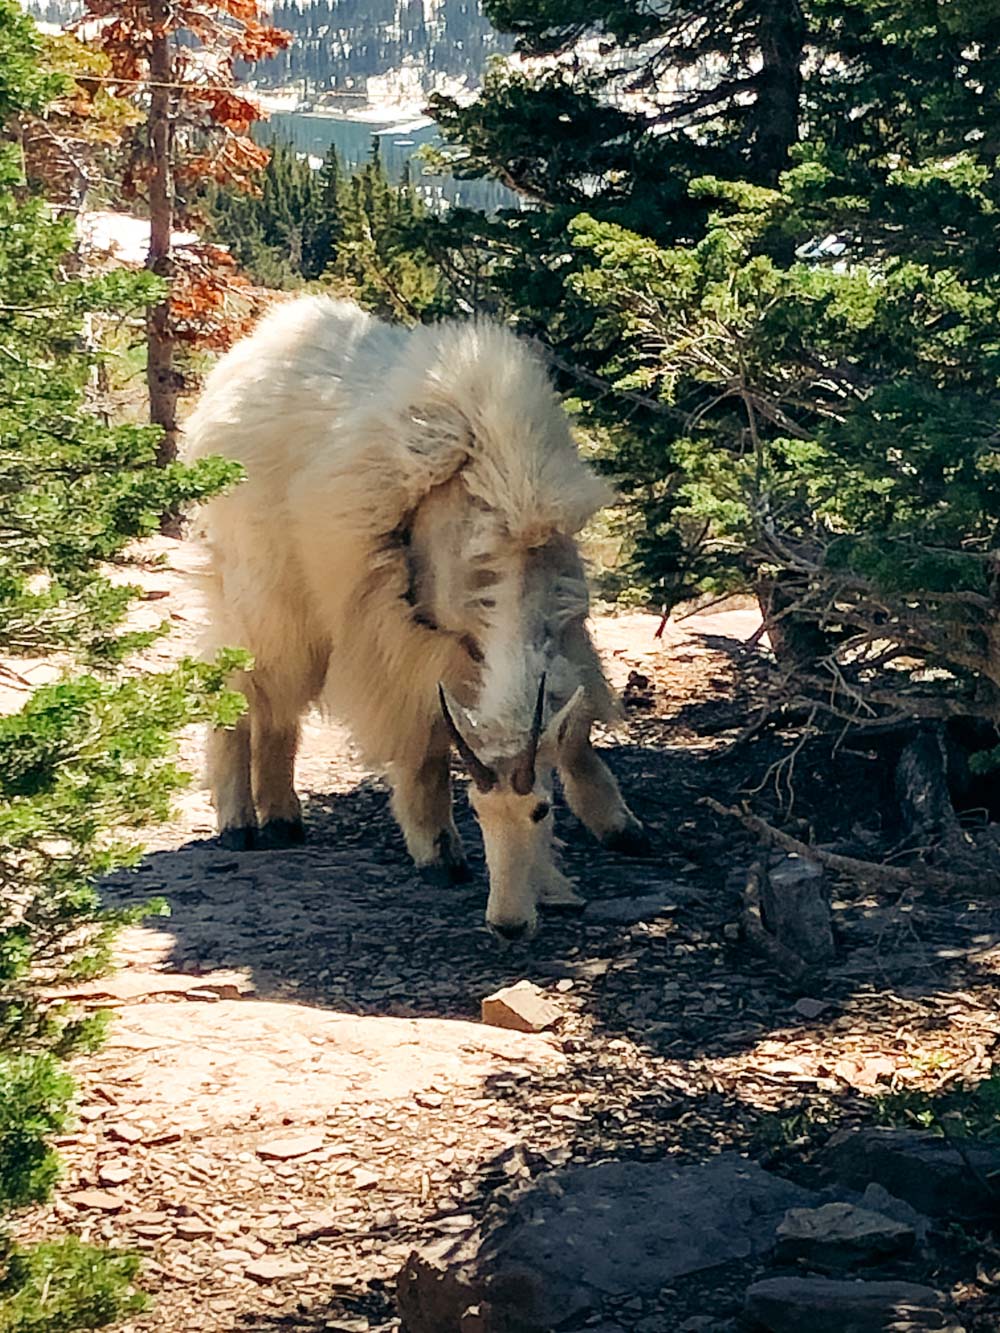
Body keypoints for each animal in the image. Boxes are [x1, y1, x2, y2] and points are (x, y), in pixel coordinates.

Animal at [186, 294, 650, 938]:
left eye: (540, 810)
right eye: (477, 812)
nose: (508, 924)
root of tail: (236, 366)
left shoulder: (566, 624)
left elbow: (574, 729)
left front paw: (620, 829)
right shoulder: (414, 635)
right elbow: (425, 745)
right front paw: (439, 853)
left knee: (279, 705)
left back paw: (282, 819)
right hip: (264, 588)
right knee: (243, 685)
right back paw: (239, 825)